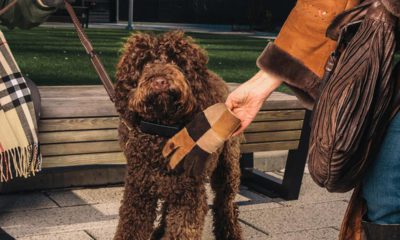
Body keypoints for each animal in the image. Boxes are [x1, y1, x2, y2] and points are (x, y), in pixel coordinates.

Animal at [113, 31, 244, 239]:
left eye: (176, 61)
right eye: (145, 63)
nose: (160, 81)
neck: (162, 131)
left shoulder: (189, 197)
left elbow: (182, 229)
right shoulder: (138, 192)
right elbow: (130, 228)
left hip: (228, 166)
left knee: (225, 203)